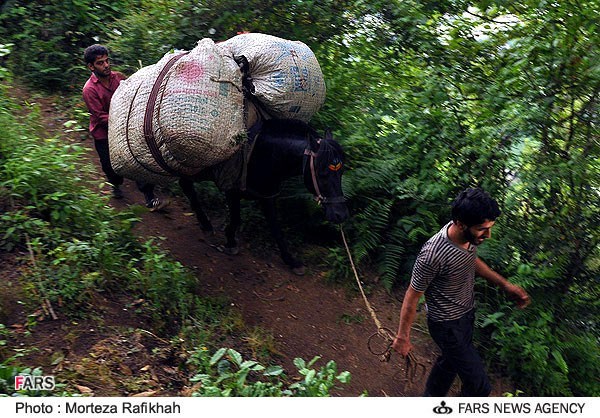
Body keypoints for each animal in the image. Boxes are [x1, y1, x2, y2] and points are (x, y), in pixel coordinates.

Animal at [178, 118, 346, 274]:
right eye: (322, 173)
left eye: (341, 172)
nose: (341, 214)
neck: (265, 153)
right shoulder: (232, 190)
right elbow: (236, 218)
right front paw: (231, 242)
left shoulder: (267, 196)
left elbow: (276, 228)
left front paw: (291, 261)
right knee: (186, 185)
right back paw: (206, 225)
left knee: (184, 184)